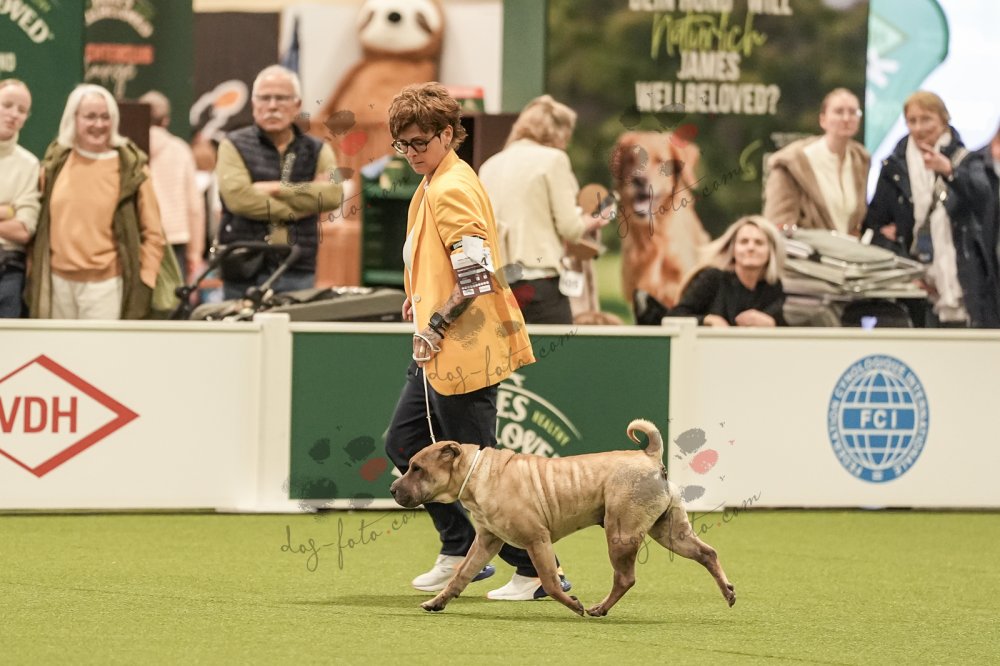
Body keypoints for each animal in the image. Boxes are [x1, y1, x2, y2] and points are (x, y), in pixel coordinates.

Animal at [389, 419, 736, 617]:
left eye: (417, 468)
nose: (393, 488)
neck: (476, 475)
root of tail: (650, 457)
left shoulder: (537, 540)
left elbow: (551, 582)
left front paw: (574, 605)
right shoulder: (487, 542)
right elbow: (461, 574)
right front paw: (438, 601)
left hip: (621, 534)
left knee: (625, 578)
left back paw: (598, 609)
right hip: (670, 532)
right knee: (707, 553)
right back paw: (728, 591)